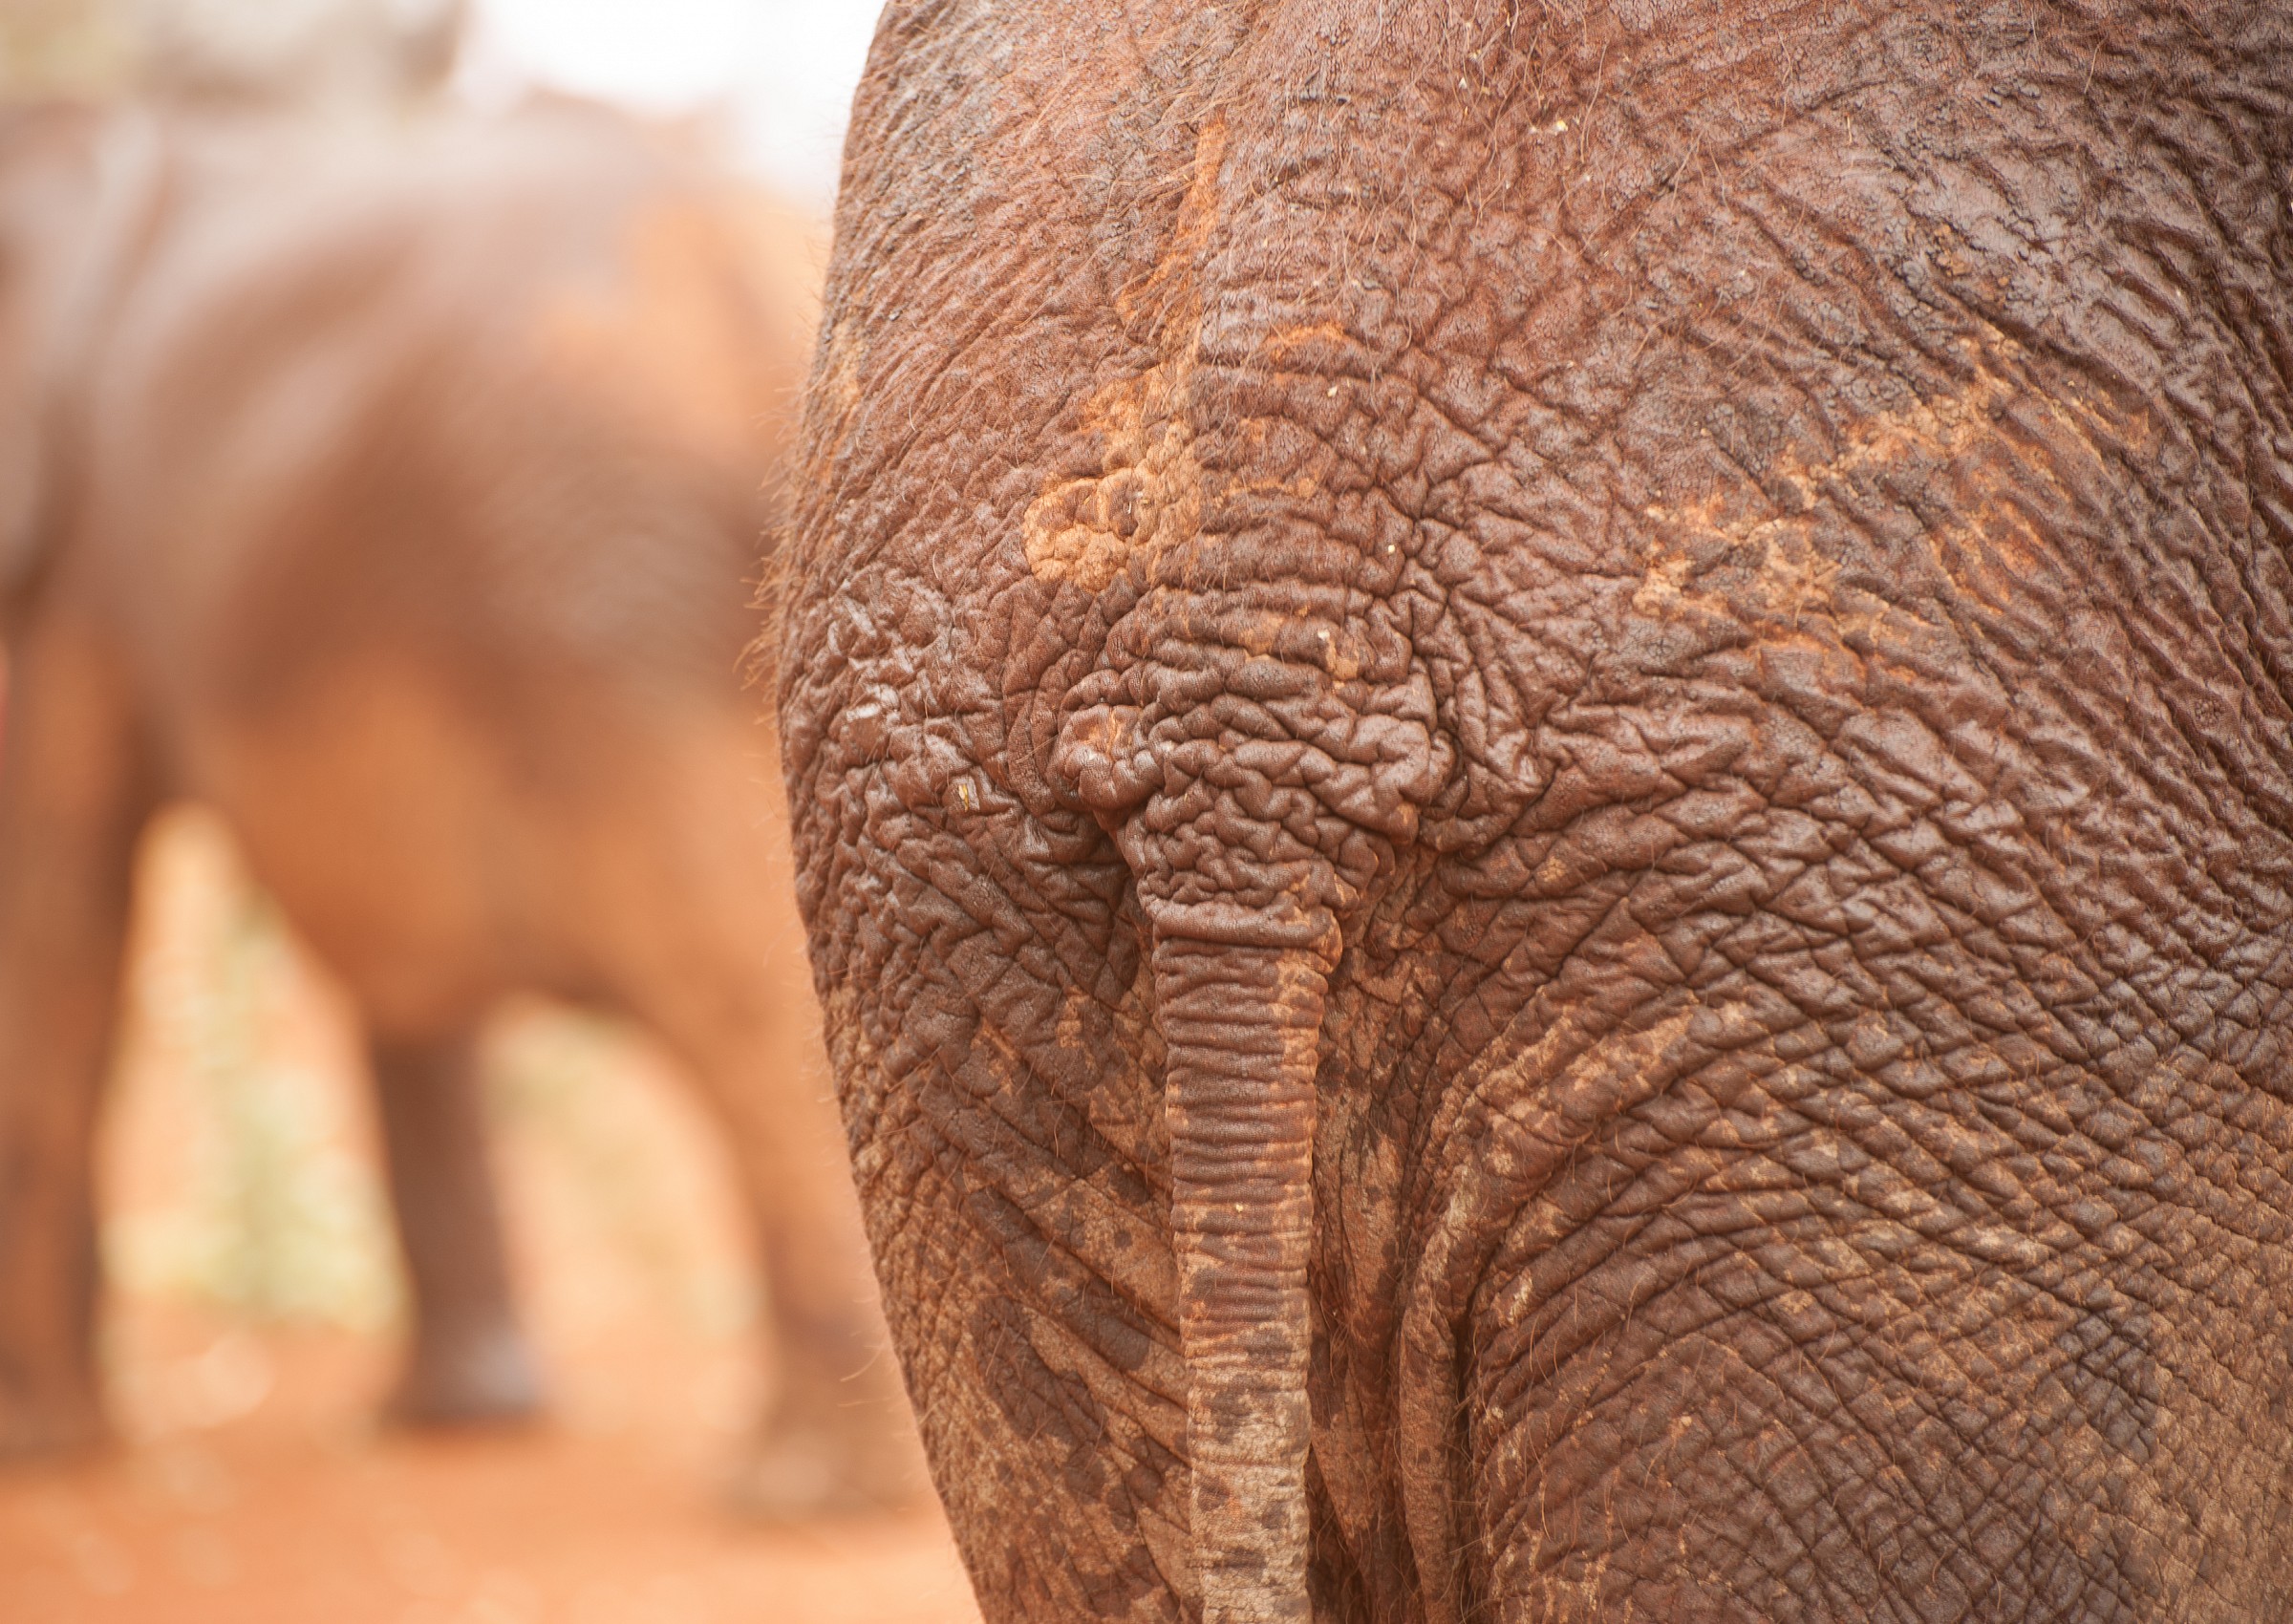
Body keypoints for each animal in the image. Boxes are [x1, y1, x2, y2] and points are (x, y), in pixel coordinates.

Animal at [0, 98, 921, 1515]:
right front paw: (459, 1421)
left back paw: (805, 1495)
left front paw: (40, 1452)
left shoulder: (69, 568)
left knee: (736, 995)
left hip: (607, 609)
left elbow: (55, 920)